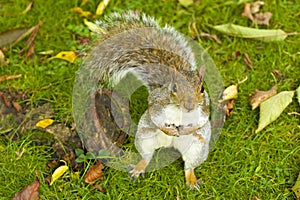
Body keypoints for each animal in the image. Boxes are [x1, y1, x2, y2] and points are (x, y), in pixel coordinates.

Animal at [79, 11, 211, 188]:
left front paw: (185, 129)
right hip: (145, 139)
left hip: (197, 148)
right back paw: (139, 168)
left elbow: (200, 122)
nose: (189, 106)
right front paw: (169, 129)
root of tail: (170, 145)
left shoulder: (203, 110)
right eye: (174, 88)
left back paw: (191, 181)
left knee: (189, 166)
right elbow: (156, 118)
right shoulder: (157, 104)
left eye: (202, 89)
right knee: (147, 156)